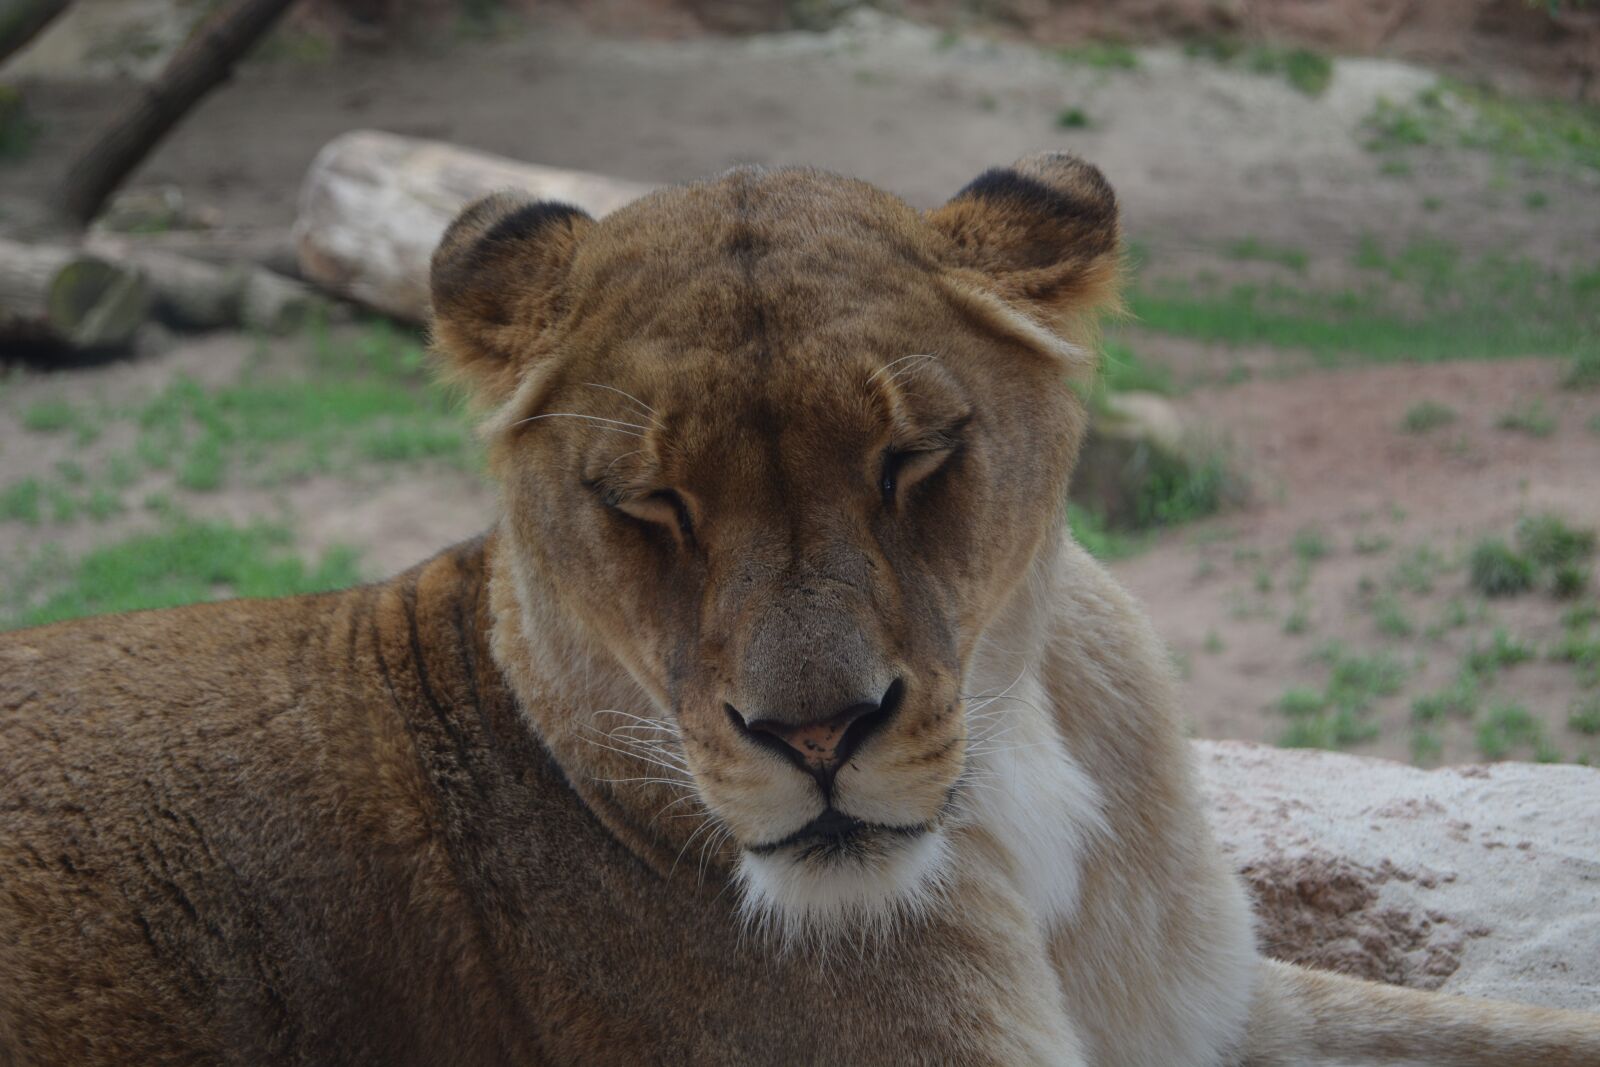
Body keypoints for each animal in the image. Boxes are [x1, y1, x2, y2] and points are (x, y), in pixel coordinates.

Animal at [1, 155, 1597, 1066]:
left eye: (914, 458)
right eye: (650, 504)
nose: (818, 733)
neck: (1024, 789)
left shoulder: (1222, 1008)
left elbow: (1506, 1028)